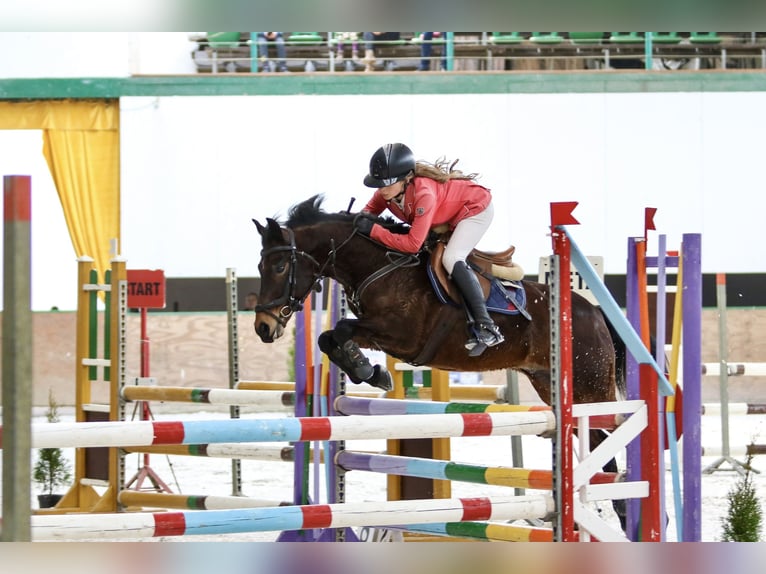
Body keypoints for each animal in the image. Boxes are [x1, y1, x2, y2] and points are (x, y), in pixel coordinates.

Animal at [253, 194, 627, 526]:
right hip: (553, 386)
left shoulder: (402, 336)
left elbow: (341, 330)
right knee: (602, 450)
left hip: (590, 388)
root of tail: (595, 312)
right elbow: (329, 337)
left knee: (614, 435)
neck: (380, 267)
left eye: (280, 266)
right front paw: (369, 371)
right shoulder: (378, 332)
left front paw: (368, 370)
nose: (263, 327)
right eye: (259, 266)